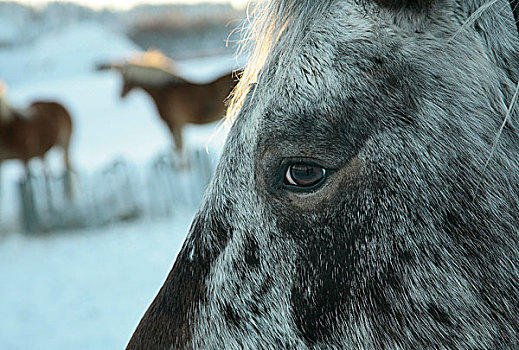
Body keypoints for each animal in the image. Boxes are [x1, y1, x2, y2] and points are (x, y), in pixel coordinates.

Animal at [97, 51, 238, 157]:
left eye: (124, 79)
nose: (120, 96)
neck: (163, 92)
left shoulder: (174, 125)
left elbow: (180, 154)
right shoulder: (178, 126)